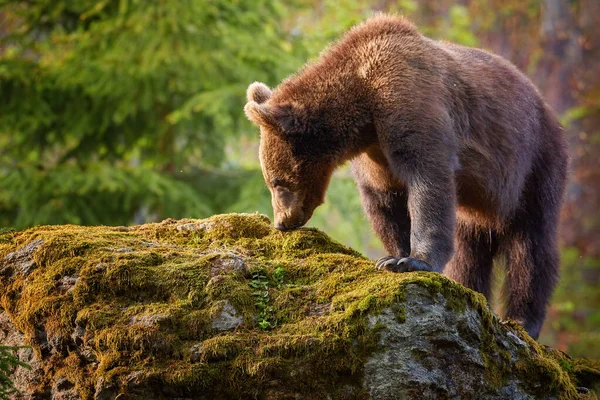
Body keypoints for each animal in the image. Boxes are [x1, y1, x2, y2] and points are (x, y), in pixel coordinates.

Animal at [243, 14, 568, 338]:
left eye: (276, 182)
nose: (282, 222)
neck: (363, 106)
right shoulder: (375, 155)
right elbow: (384, 202)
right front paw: (391, 257)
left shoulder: (409, 102)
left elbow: (427, 180)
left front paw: (413, 261)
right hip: (478, 204)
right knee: (469, 250)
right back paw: (471, 290)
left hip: (534, 163)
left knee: (532, 246)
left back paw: (523, 320)